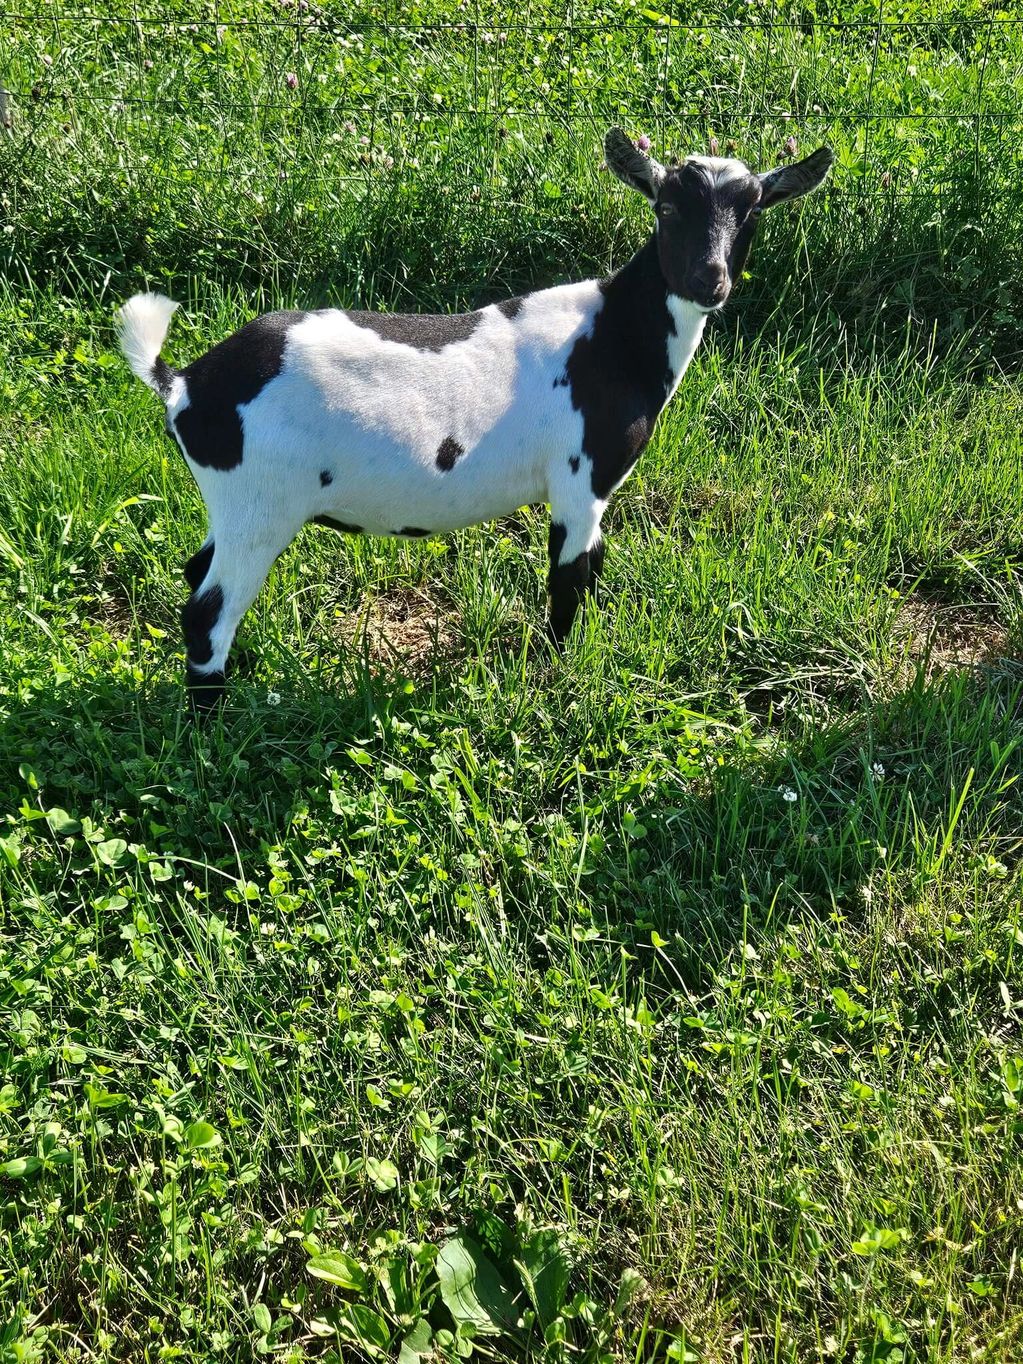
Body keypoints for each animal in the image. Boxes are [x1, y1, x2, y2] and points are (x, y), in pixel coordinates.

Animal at [116, 128, 833, 710]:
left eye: (752, 213)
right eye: (667, 206)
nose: (708, 281)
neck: (616, 336)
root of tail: (183, 382)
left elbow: (589, 572)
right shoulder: (579, 481)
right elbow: (569, 581)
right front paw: (557, 678)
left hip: (235, 500)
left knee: (198, 573)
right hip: (260, 501)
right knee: (207, 614)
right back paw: (212, 728)